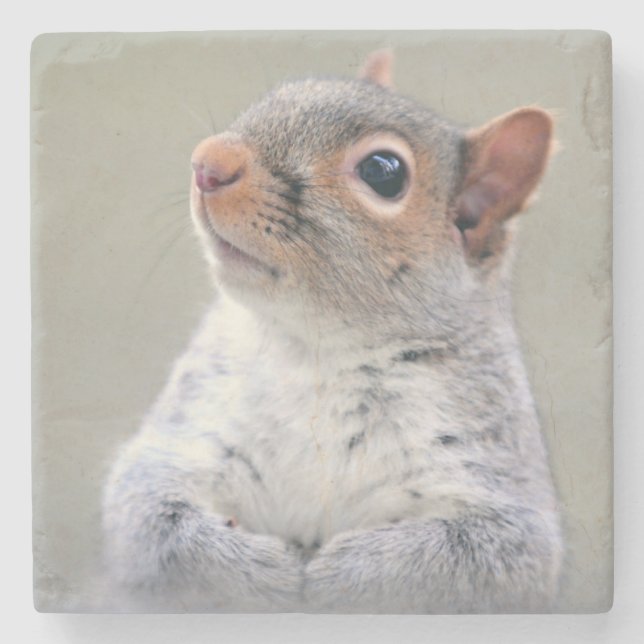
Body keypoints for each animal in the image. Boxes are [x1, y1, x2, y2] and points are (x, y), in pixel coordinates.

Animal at [102, 50, 562, 613]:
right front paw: (261, 573)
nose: (208, 162)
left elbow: (481, 558)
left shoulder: (493, 475)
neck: (315, 351)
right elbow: (149, 519)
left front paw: (347, 576)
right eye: (279, 93)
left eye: (383, 172)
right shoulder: (187, 433)